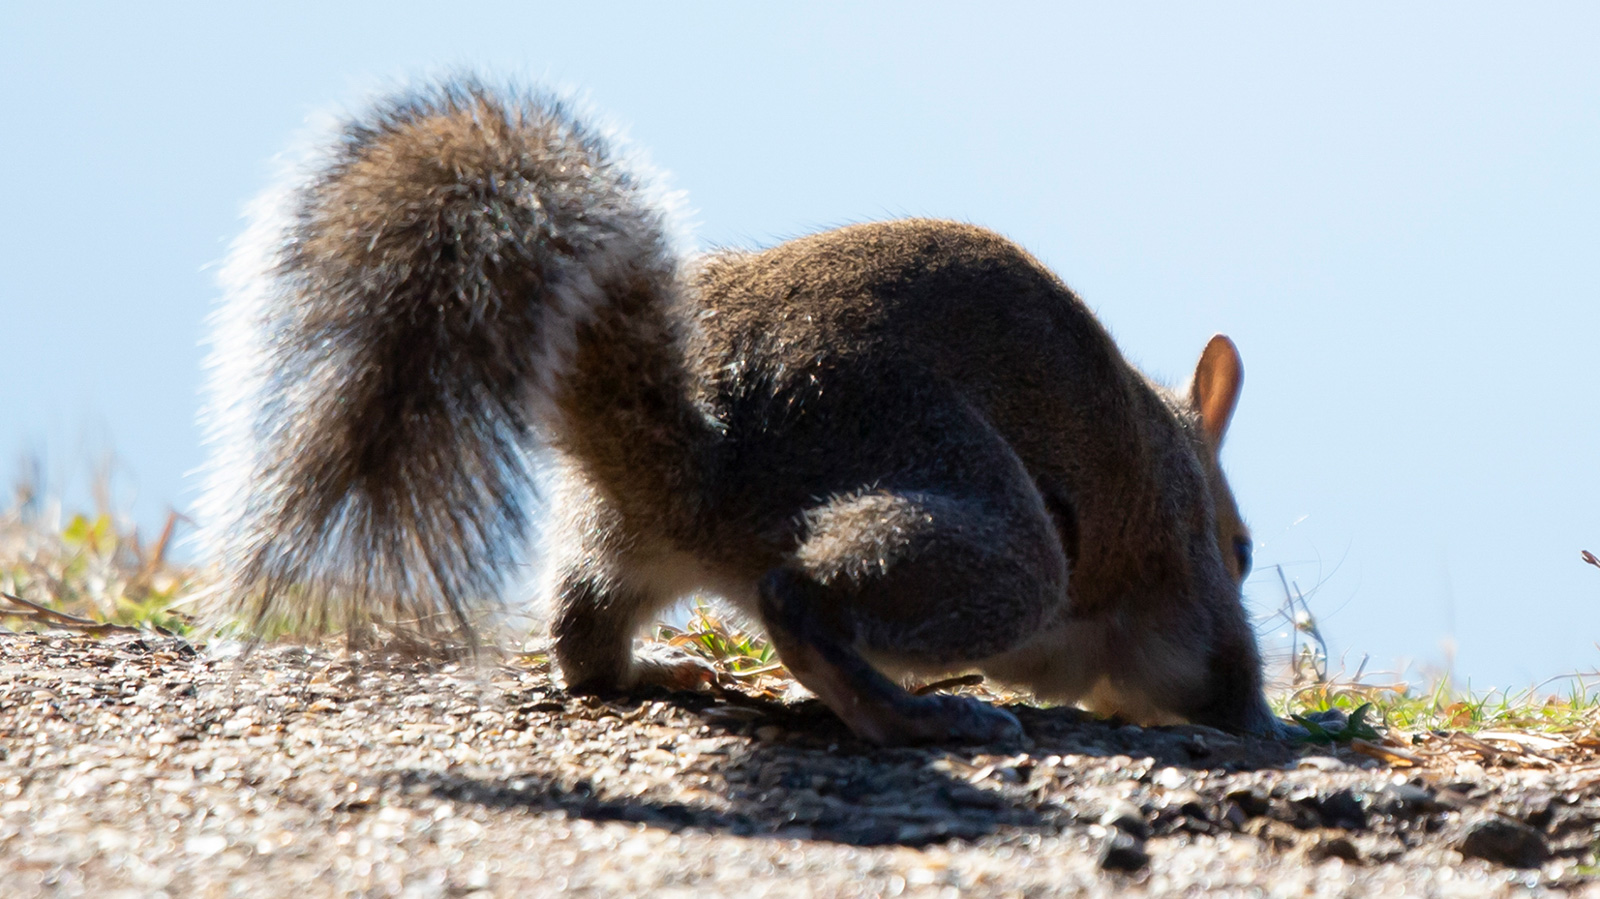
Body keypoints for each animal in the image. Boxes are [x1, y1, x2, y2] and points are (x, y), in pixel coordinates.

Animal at [198, 79, 1283, 745]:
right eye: (1242, 550)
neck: (1176, 462)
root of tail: (704, 457)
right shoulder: (1182, 587)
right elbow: (1216, 670)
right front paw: (1270, 725)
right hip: (983, 528)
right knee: (799, 602)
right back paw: (915, 717)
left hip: (619, 539)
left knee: (585, 639)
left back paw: (655, 672)